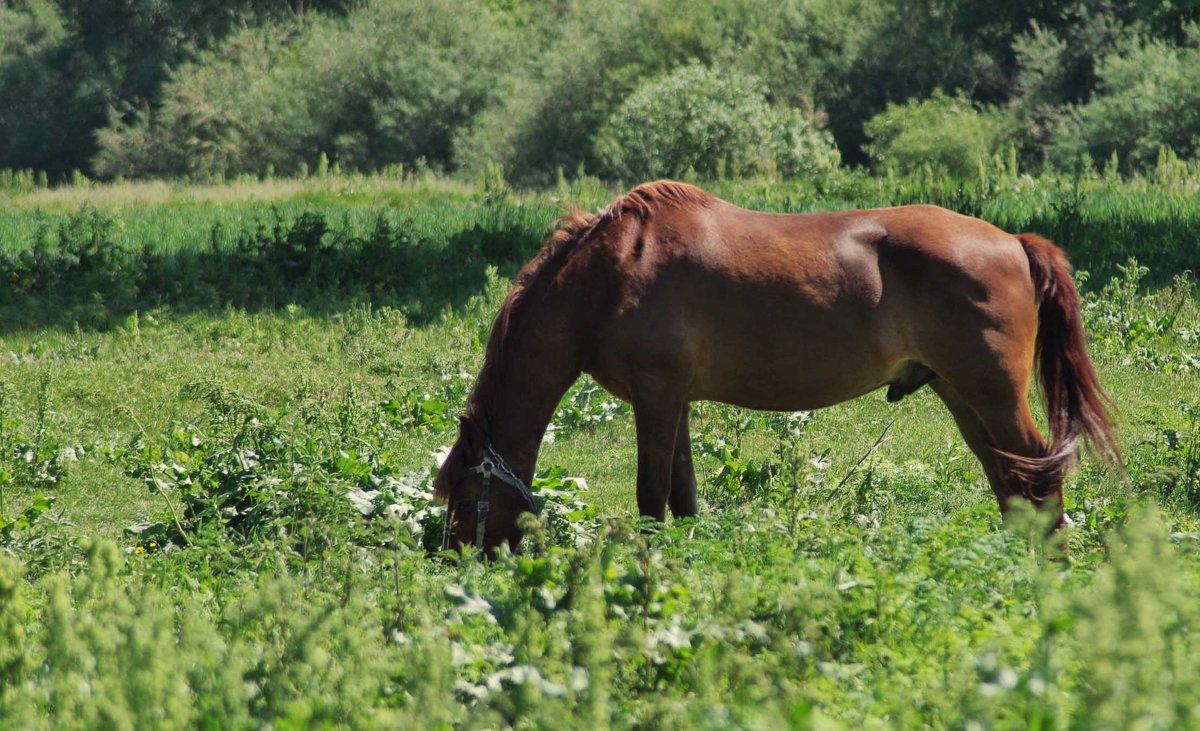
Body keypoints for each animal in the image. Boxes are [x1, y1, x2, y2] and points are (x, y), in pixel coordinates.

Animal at [436, 181, 1118, 552]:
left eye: (462, 497)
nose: (447, 558)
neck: (613, 272)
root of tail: (1014, 242)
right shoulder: (677, 402)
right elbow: (684, 497)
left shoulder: (655, 398)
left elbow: (651, 498)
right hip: (960, 393)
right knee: (1010, 480)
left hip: (992, 393)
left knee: (1034, 472)